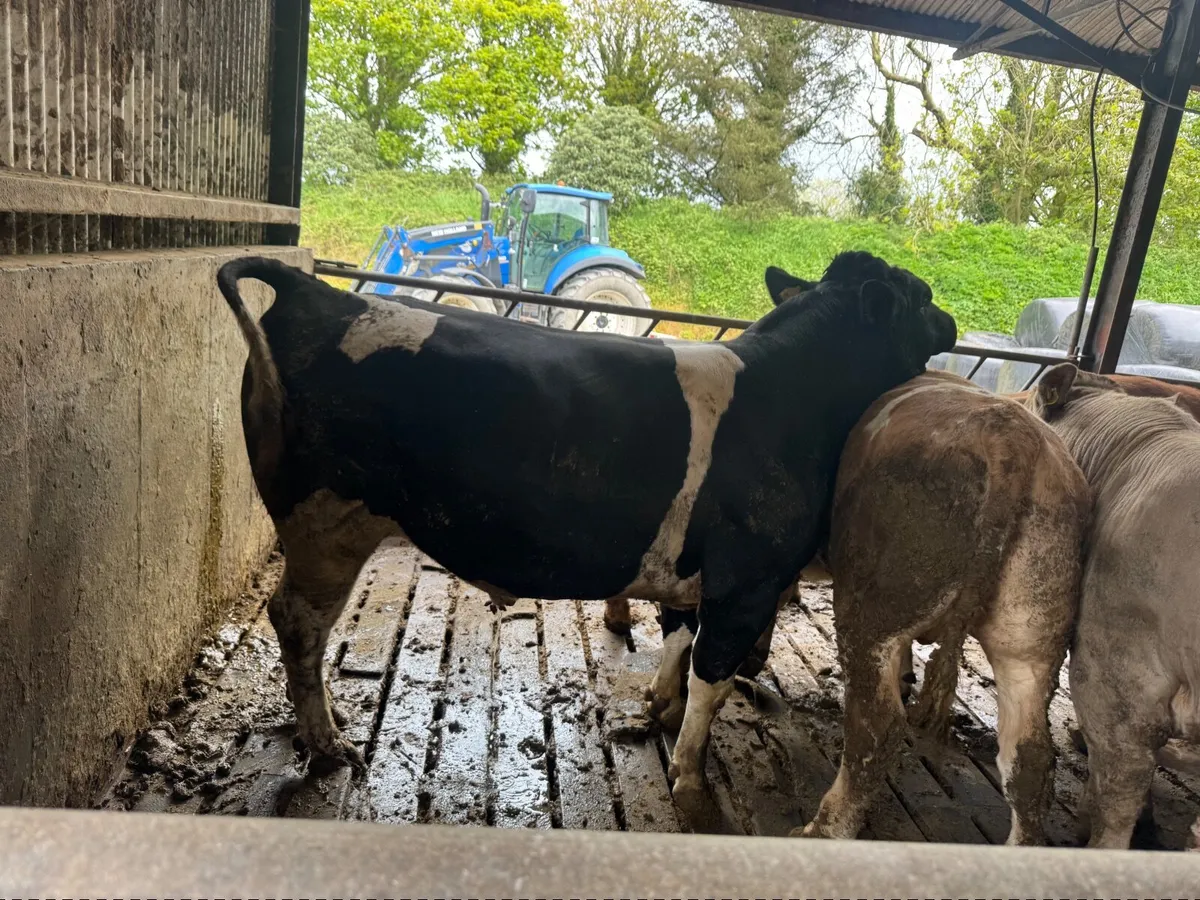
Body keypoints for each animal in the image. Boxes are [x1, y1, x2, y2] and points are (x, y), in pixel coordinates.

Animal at [217, 251, 956, 829]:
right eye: (920, 295)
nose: (949, 320)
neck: (791, 399)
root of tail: (319, 293)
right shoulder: (748, 580)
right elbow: (712, 678)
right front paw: (690, 777)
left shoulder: (695, 573)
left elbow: (678, 642)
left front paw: (656, 709)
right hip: (326, 520)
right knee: (299, 621)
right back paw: (327, 743)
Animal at [795, 370, 1089, 845]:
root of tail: (1009, 437)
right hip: (1033, 637)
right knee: (1030, 760)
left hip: (872, 608)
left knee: (875, 727)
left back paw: (824, 828)